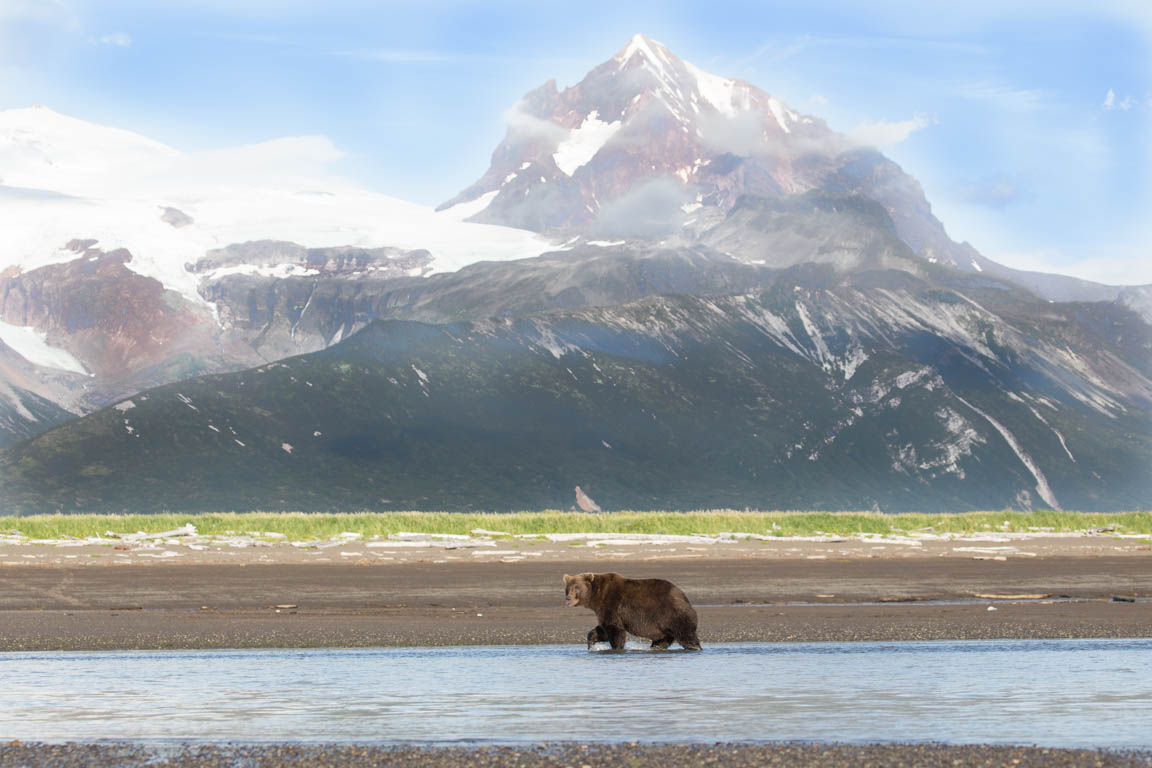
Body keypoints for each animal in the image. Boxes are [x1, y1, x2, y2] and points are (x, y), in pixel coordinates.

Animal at [559, 573, 695, 654]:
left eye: (576, 587)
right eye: (568, 588)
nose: (568, 599)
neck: (597, 596)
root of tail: (683, 596)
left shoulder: (612, 604)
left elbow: (615, 630)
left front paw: (617, 648)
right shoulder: (604, 610)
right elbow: (602, 630)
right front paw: (591, 644)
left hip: (672, 614)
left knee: (686, 635)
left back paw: (694, 648)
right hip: (663, 626)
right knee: (663, 639)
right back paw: (656, 648)